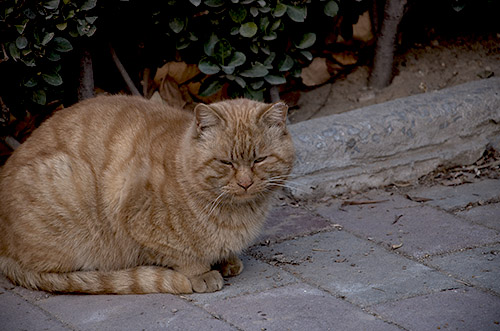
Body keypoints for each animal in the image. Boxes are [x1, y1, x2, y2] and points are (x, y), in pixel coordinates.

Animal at [0, 94, 294, 294]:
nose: (245, 183)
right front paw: (201, 273)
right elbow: (180, 255)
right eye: (226, 162)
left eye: (259, 160)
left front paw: (226, 260)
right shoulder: (137, 223)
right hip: (68, 181)